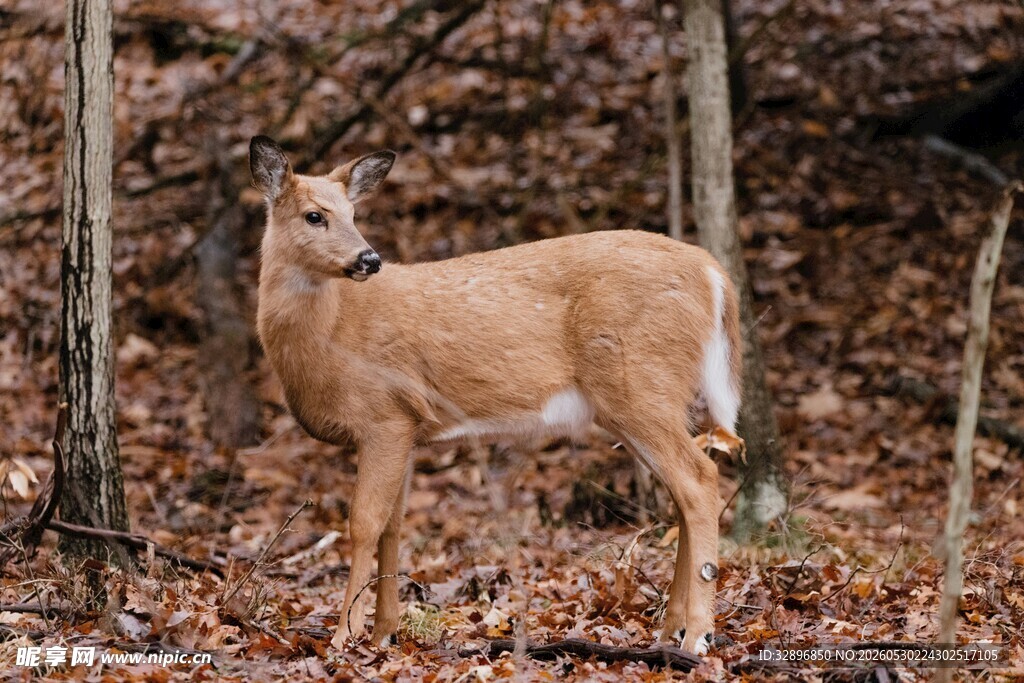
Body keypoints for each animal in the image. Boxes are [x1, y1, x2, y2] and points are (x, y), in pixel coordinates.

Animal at [249, 135, 742, 656]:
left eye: (352, 213)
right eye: (314, 216)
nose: (369, 259)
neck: (332, 332)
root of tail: (712, 271)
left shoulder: (383, 416)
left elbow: (363, 523)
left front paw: (347, 635)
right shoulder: (407, 426)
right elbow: (394, 527)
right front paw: (386, 632)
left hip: (643, 387)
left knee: (699, 480)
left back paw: (698, 636)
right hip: (645, 399)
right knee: (683, 494)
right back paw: (670, 632)